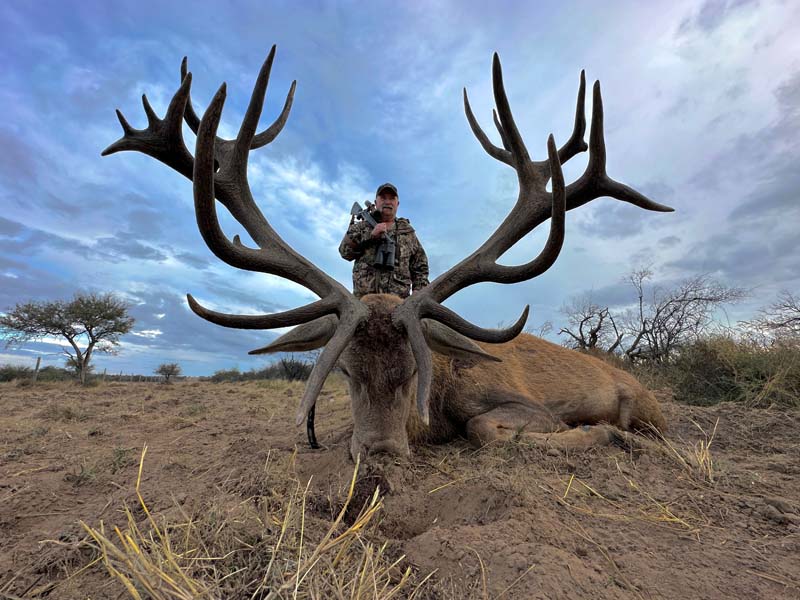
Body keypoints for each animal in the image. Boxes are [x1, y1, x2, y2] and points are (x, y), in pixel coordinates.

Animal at [104, 47, 671, 459]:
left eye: (414, 372)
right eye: (344, 372)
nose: (379, 449)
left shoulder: (523, 403)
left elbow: (486, 429)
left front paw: (599, 434)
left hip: (646, 405)